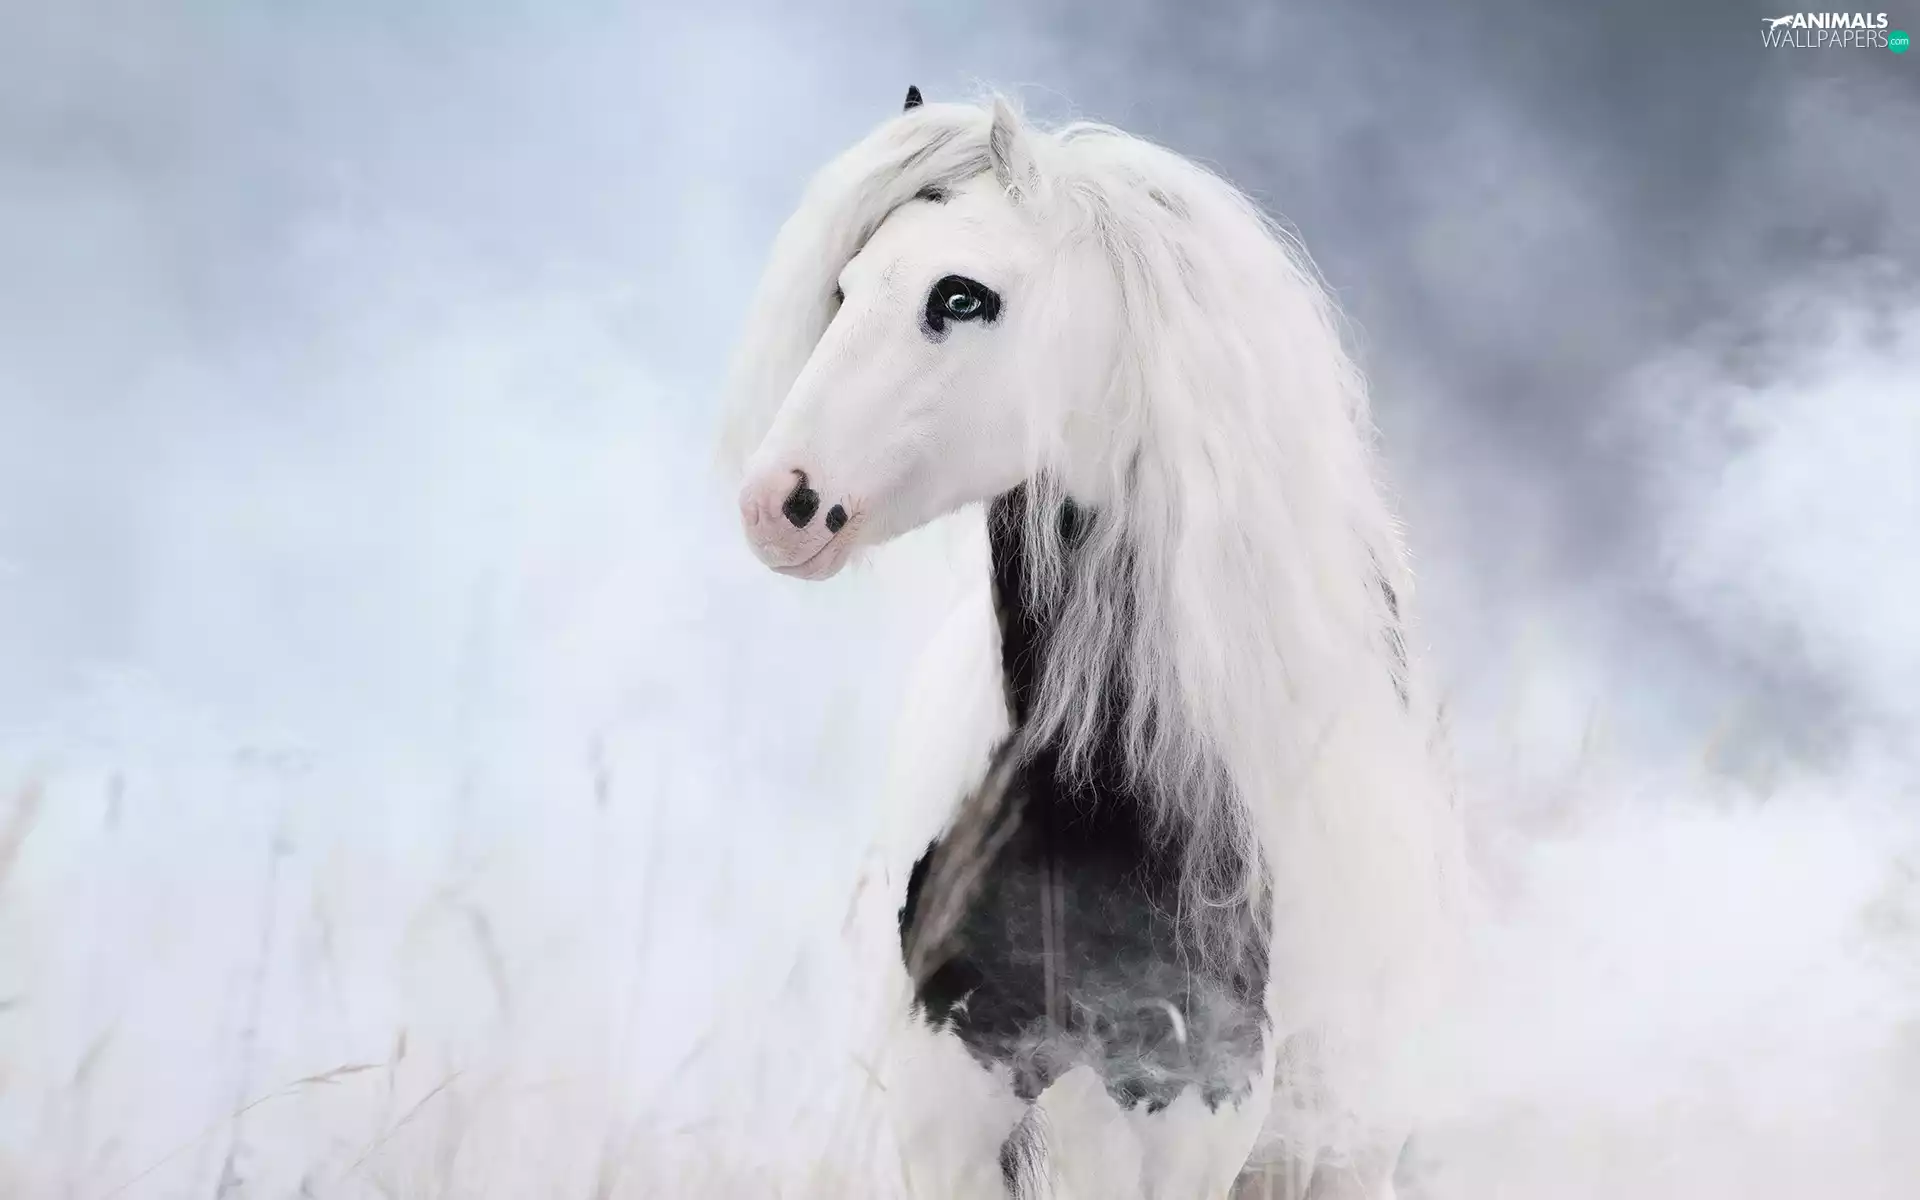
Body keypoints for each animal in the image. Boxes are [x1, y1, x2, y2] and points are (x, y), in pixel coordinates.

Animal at [721, 87, 1463, 1200]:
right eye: (844, 289)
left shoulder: (1197, 1107)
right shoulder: (950, 1091)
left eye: (962, 296)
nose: (779, 504)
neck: (1113, 803)